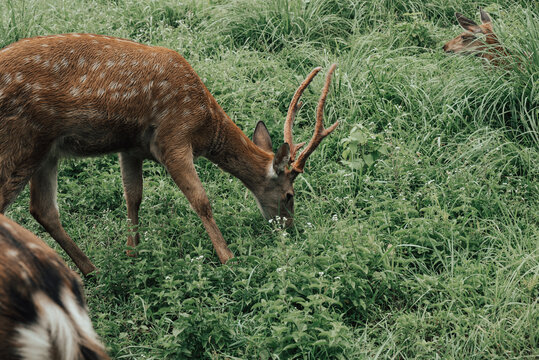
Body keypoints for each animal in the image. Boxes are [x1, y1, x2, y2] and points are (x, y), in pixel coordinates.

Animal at [0, 34, 338, 276]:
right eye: (290, 195)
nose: (289, 229)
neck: (204, 125)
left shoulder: (131, 148)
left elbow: (133, 197)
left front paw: (132, 253)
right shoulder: (173, 137)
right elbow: (201, 201)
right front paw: (228, 259)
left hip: (47, 151)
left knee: (42, 209)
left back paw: (91, 270)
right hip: (23, 140)